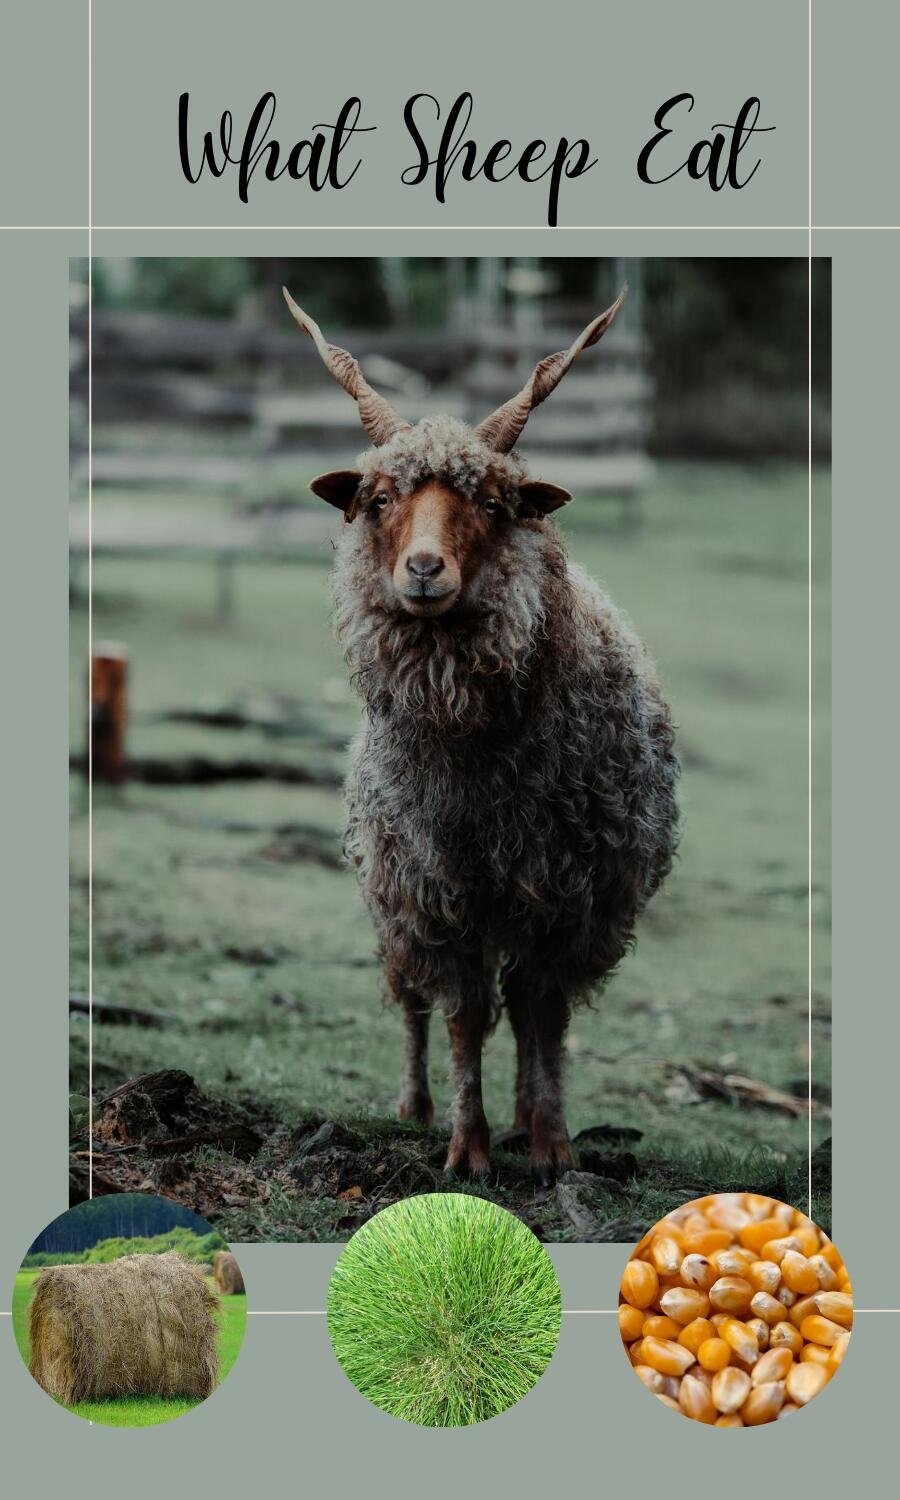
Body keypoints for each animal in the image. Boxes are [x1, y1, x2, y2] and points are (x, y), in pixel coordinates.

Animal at [285, 283, 678, 1182]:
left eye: (494, 504)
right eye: (380, 499)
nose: (424, 570)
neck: (482, 765)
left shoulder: (571, 896)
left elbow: (545, 1016)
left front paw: (552, 1141)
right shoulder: (438, 892)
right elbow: (464, 1018)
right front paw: (466, 1149)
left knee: (527, 1011)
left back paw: (526, 1117)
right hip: (392, 905)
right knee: (413, 1005)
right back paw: (415, 1105)